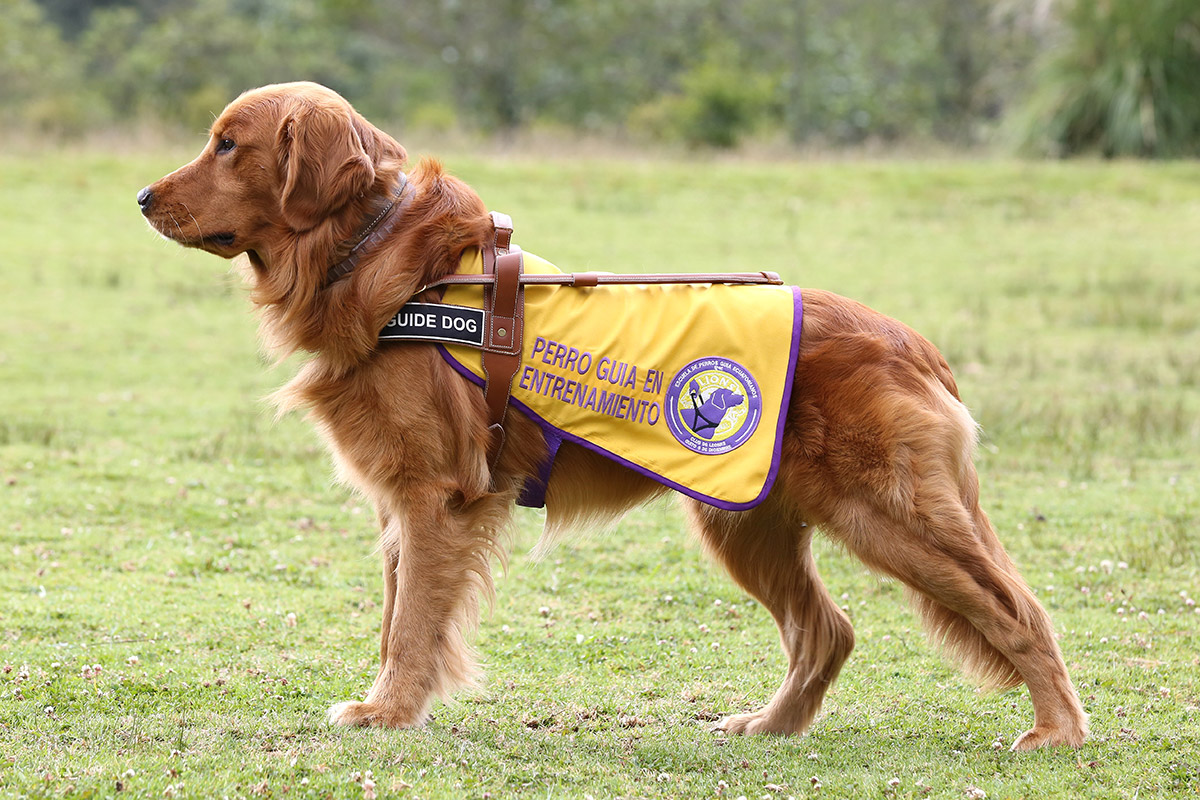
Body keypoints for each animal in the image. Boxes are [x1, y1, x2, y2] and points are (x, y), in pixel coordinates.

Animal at [140, 81, 1089, 753]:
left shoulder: (435, 495)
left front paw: (389, 711)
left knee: (1018, 612)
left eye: (228, 144)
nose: (144, 197)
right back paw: (770, 727)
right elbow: (393, 618)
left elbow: (411, 626)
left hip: (889, 518)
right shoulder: (398, 504)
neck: (383, 262)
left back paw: (1058, 730)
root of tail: (912, 342)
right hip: (745, 523)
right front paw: (389, 702)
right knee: (829, 632)